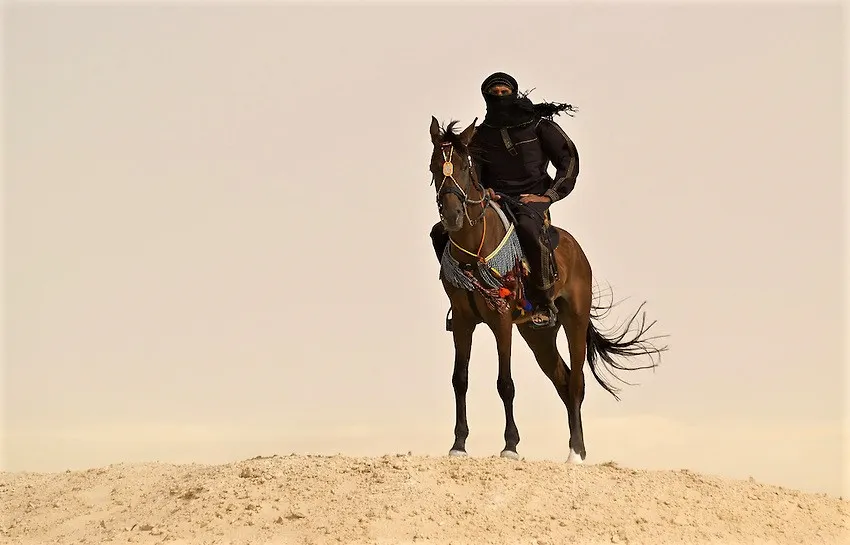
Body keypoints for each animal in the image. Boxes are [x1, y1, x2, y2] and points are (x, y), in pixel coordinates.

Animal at [428, 117, 664, 462]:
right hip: (537, 334)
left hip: (574, 320)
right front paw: (458, 444)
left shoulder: (501, 320)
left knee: (576, 382)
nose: (453, 215)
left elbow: (505, 384)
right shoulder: (462, 320)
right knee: (562, 380)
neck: (474, 247)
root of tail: (574, 248)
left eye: (463, 167)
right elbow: (460, 379)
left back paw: (576, 453)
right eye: (434, 167)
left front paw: (510, 445)